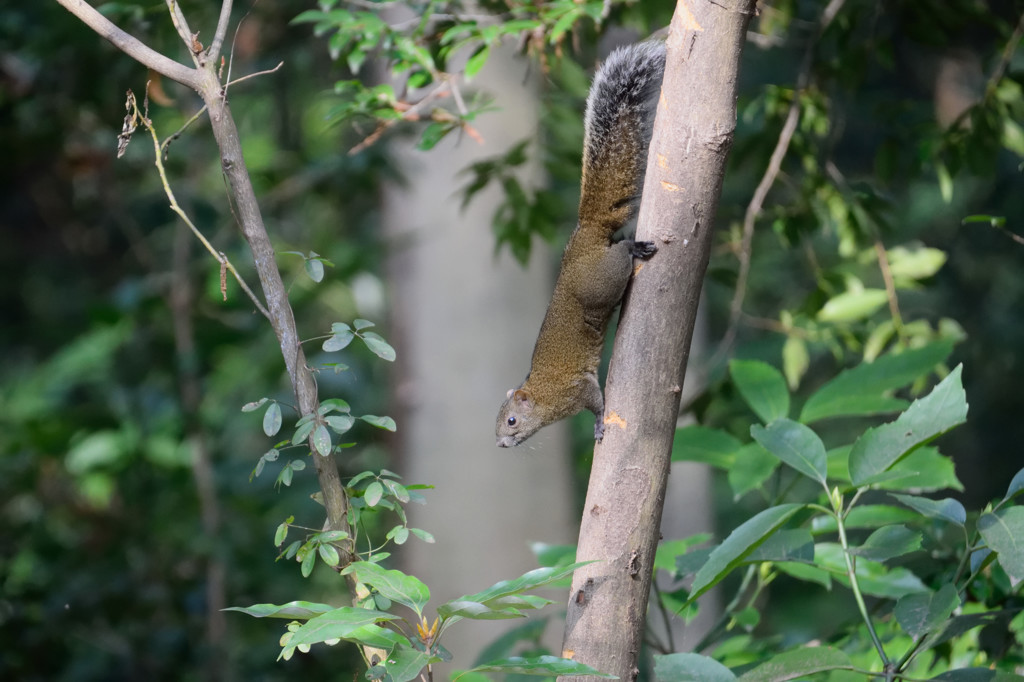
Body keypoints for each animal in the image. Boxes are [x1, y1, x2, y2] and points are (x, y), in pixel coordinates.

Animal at [493, 42, 663, 446]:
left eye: (512, 421)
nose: (501, 443)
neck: (542, 395)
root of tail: (584, 238)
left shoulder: (575, 389)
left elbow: (597, 403)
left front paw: (600, 425)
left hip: (601, 282)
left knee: (620, 255)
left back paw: (634, 249)